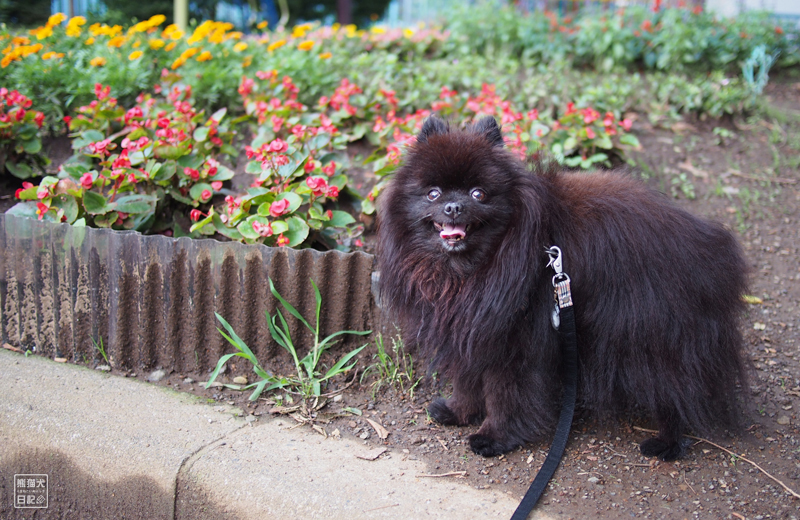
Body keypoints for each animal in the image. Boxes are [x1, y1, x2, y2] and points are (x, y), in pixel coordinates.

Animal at [376, 116, 752, 462]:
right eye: (433, 193)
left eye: (478, 194)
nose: (453, 206)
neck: (468, 271)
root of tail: (710, 243)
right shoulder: (472, 328)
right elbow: (467, 379)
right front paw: (459, 412)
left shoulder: (514, 342)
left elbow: (504, 394)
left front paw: (494, 436)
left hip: (650, 337)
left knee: (673, 389)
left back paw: (667, 443)